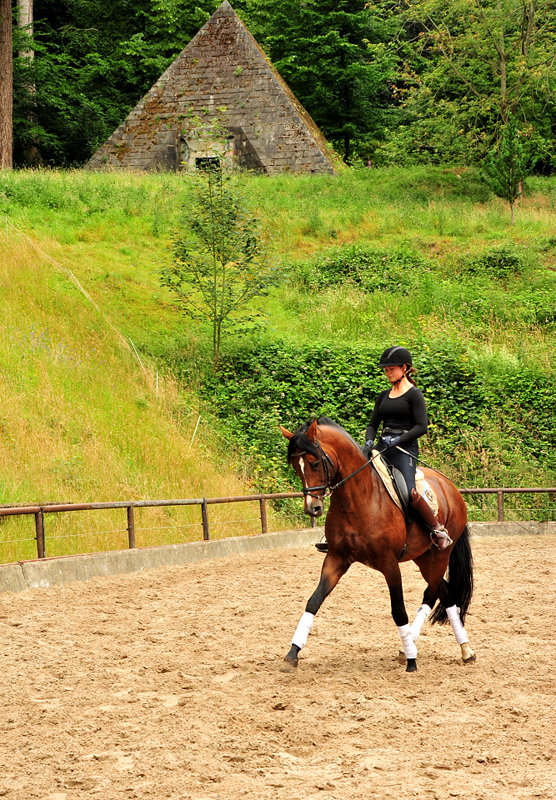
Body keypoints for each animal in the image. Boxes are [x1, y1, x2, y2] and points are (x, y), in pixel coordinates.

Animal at [280, 416, 476, 672]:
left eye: (314, 463)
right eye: (296, 466)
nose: (312, 508)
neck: (357, 499)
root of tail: (450, 486)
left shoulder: (389, 563)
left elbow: (398, 611)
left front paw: (412, 661)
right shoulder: (336, 559)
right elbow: (314, 601)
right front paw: (292, 654)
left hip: (441, 554)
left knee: (431, 593)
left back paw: (413, 648)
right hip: (424, 557)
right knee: (445, 592)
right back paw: (464, 650)